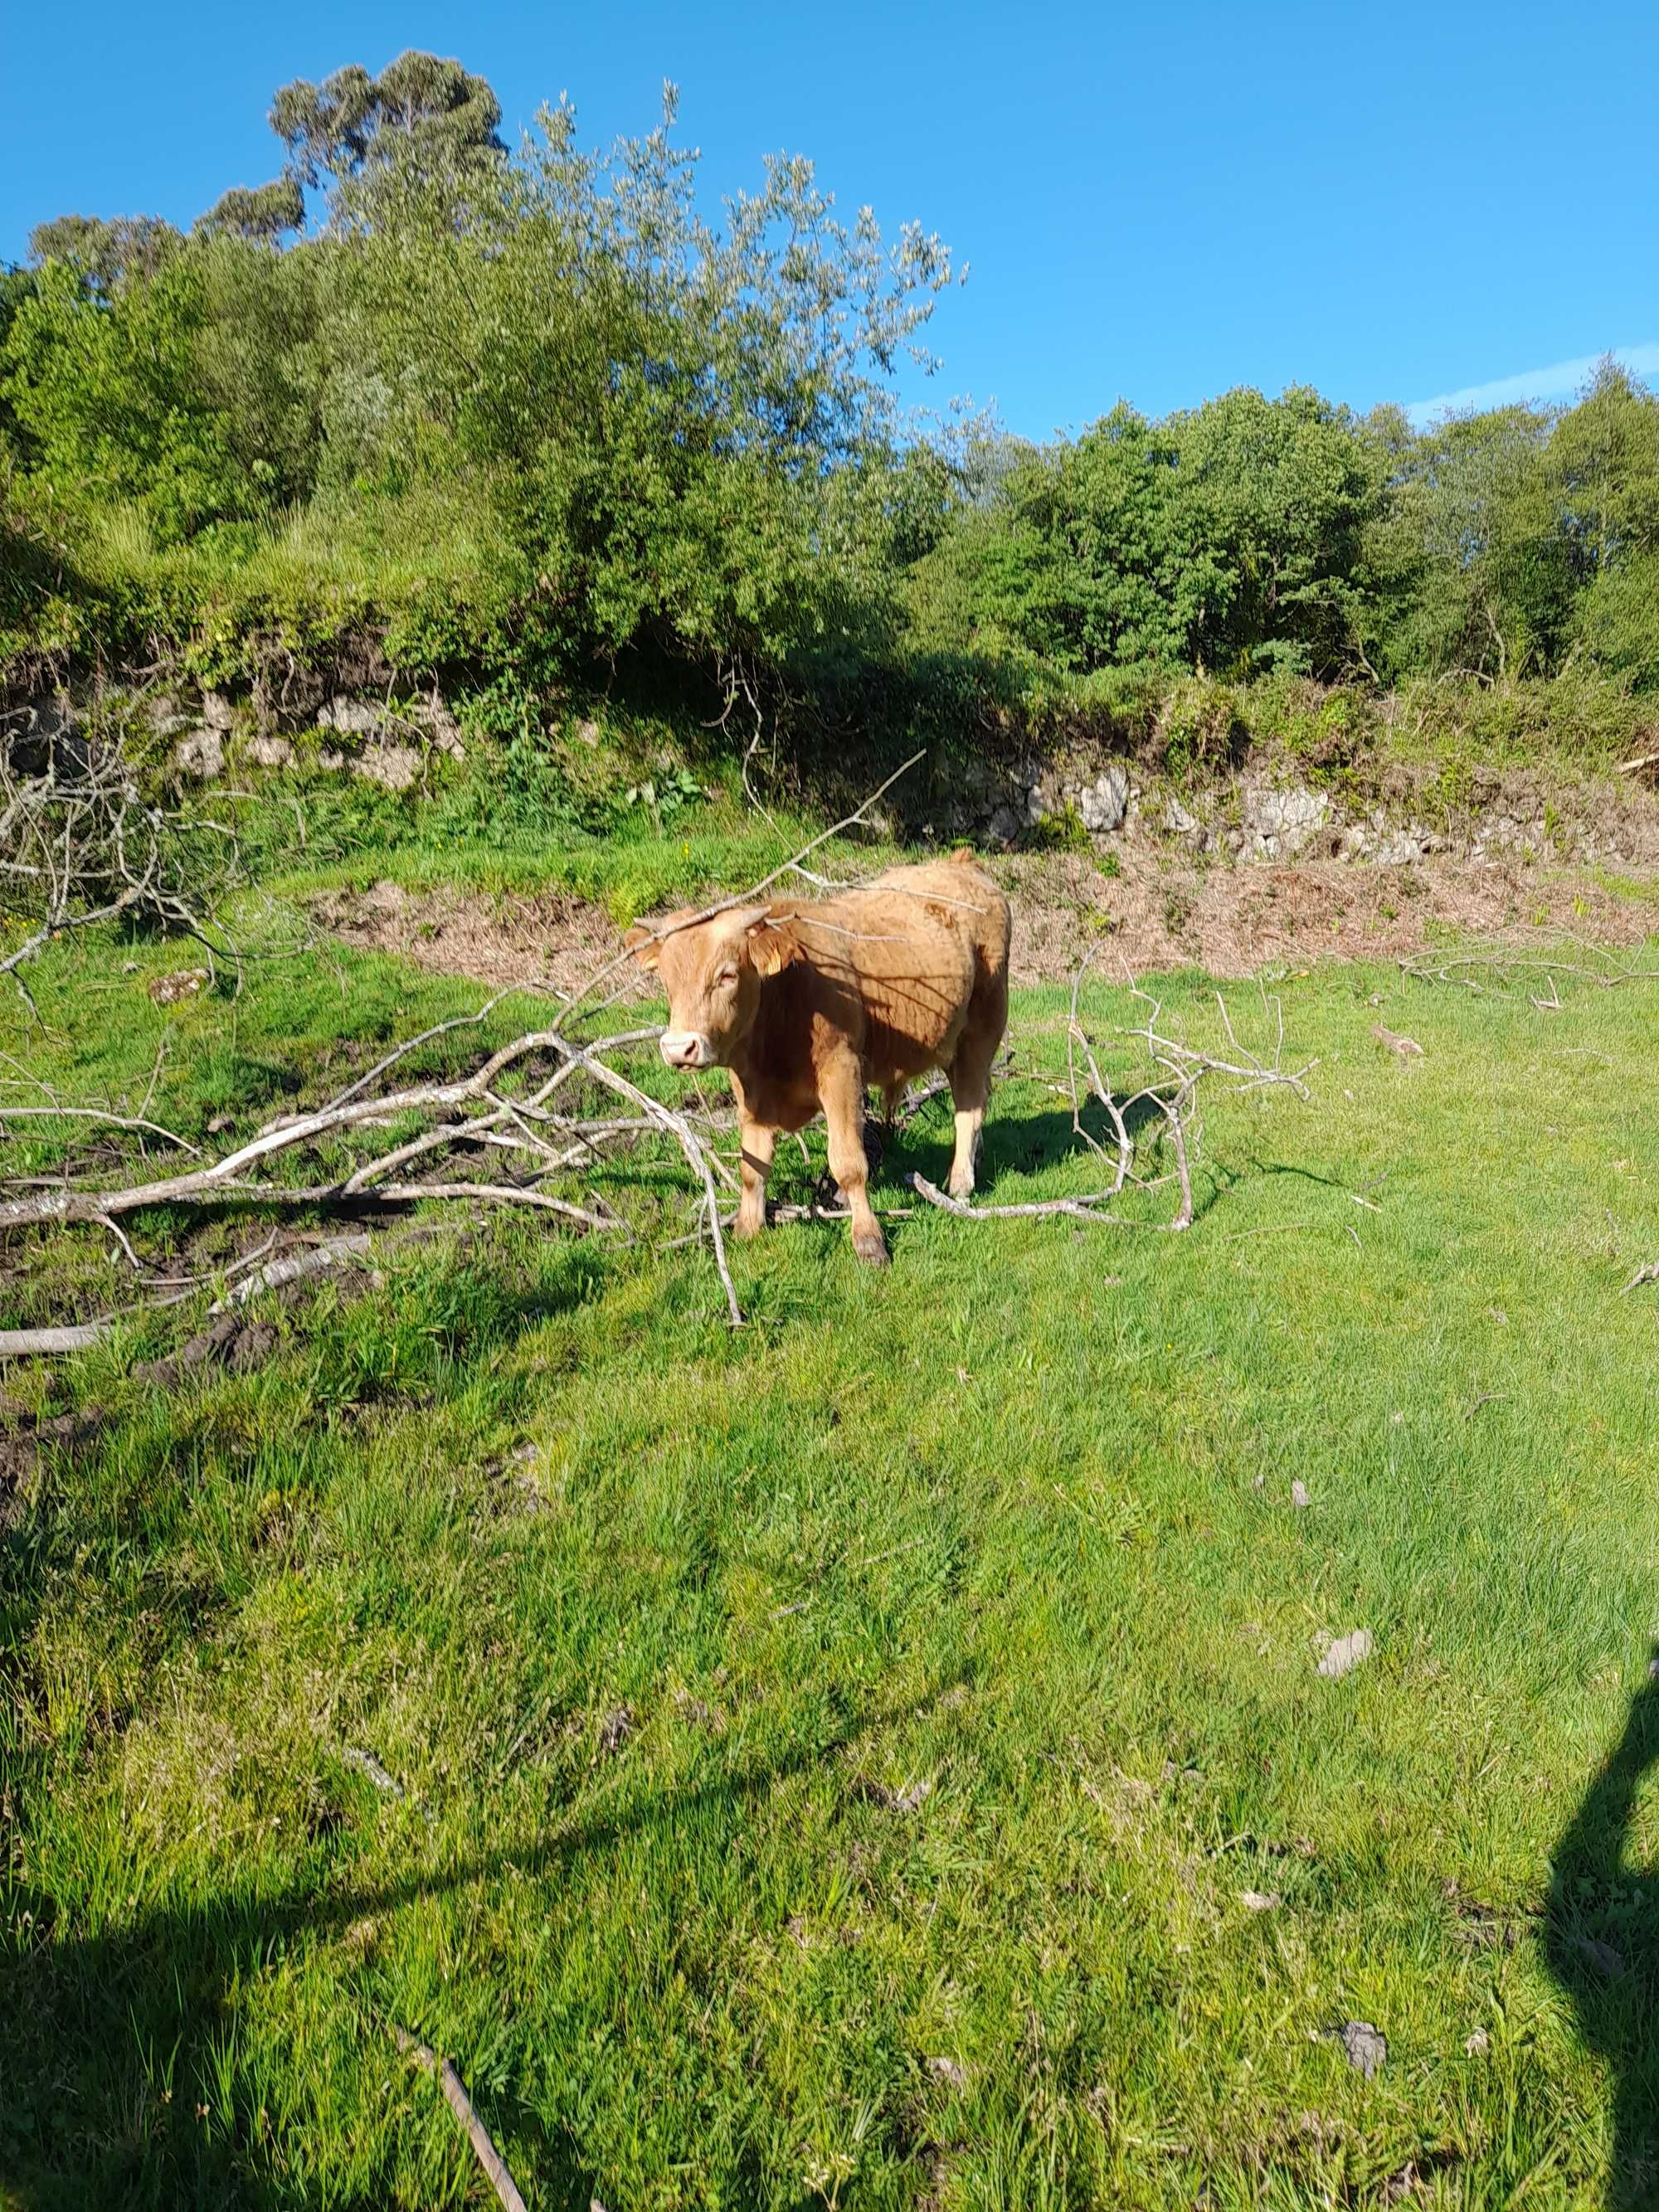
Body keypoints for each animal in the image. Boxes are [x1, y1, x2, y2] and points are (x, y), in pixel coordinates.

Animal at [624, 844, 1013, 1265]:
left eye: (726, 975)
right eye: (665, 979)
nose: (679, 1047)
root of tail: (962, 864)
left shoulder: (841, 1070)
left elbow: (848, 1162)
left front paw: (868, 1239)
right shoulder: (751, 1090)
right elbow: (752, 1166)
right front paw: (747, 1229)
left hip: (984, 1026)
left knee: (969, 1105)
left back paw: (960, 1182)